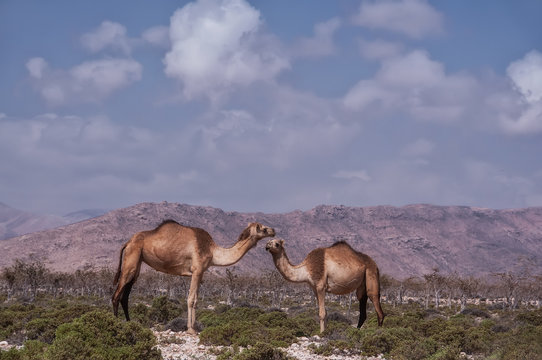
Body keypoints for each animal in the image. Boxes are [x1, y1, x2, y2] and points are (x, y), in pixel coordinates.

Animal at [113, 219, 276, 334]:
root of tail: (128, 242)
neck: (213, 251)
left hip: (137, 263)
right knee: (116, 294)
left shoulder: (201, 272)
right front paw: (190, 329)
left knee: (125, 295)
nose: (273, 230)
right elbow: (191, 299)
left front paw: (194, 328)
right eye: (263, 228)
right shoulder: (197, 270)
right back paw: (115, 323)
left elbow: (196, 299)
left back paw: (130, 322)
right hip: (131, 260)